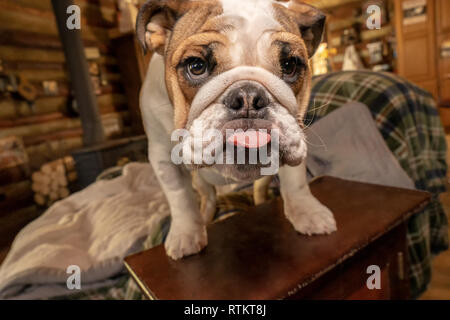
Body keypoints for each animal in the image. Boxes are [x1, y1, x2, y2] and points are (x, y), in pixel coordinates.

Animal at [137, 0, 338, 258]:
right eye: (196, 66)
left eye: (290, 65)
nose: (248, 97)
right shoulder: (161, 155)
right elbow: (179, 196)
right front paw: (186, 235)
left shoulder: (296, 135)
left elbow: (296, 181)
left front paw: (308, 212)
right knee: (207, 195)